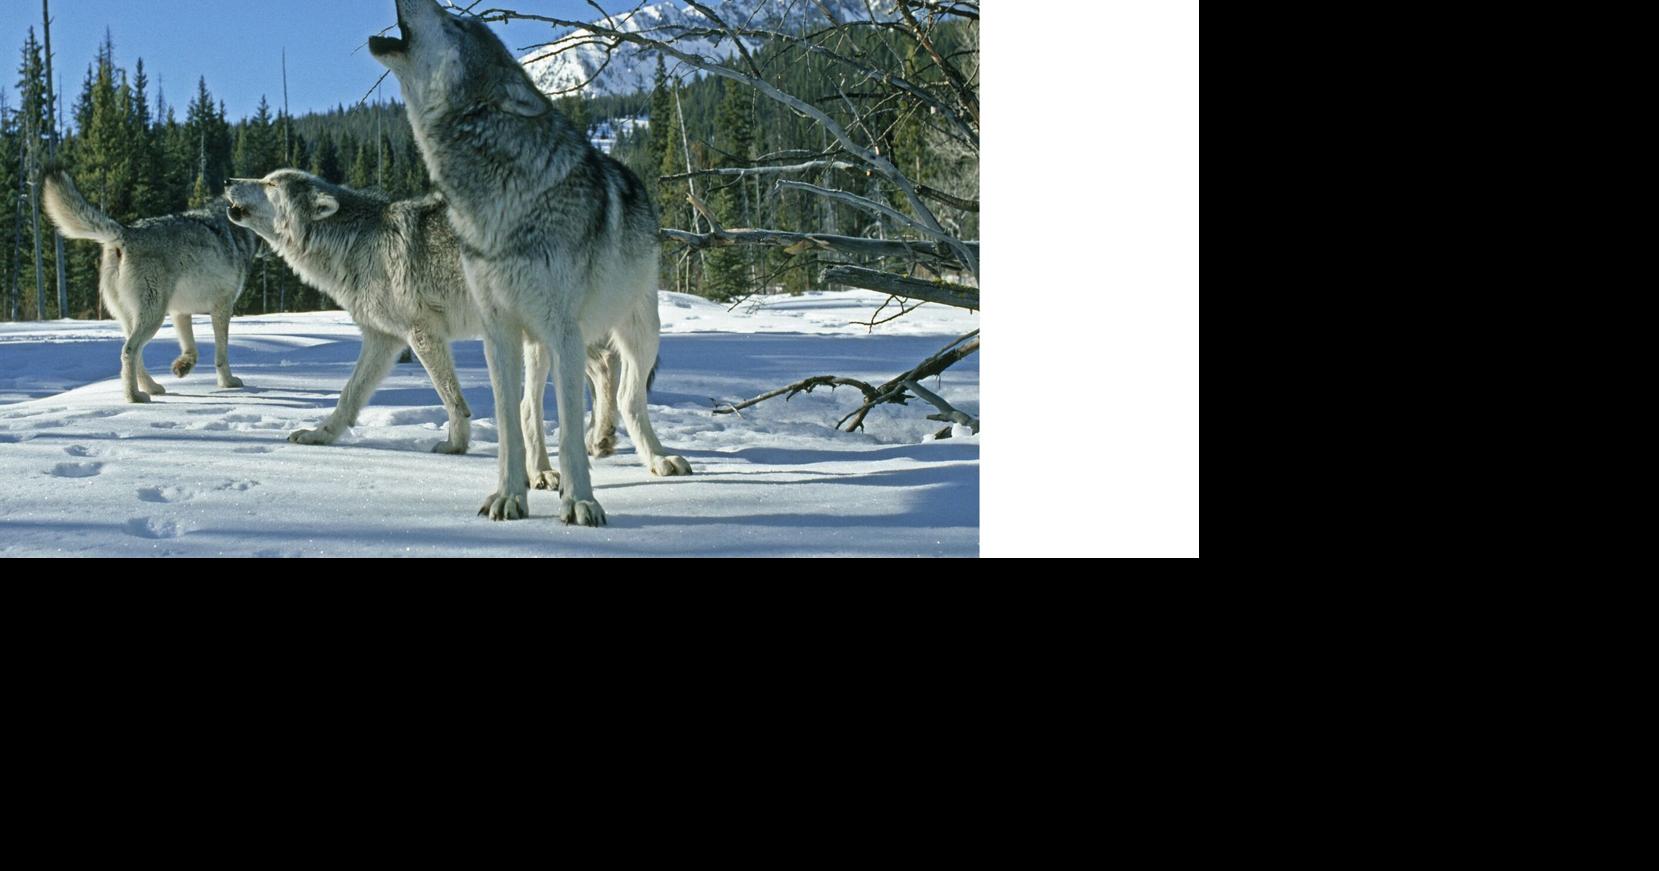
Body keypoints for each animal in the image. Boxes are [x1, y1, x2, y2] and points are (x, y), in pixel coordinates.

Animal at [41, 168, 255, 403]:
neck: (232, 230)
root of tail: (125, 233)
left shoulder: (180, 312)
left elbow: (191, 348)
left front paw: (182, 367)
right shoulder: (222, 307)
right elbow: (221, 353)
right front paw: (228, 382)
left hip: (136, 317)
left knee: (136, 355)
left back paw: (150, 388)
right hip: (153, 317)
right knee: (129, 351)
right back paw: (134, 396)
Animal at [224, 169, 644, 489]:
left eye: (271, 183)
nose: (228, 181)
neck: (356, 243)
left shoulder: (422, 333)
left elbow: (453, 399)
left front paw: (455, 446)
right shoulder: (383, 340)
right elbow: (348, 397)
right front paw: (320, 436)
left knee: (605, 364)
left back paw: (599, 438)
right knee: (605, 364)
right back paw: (600, 439)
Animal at [372, 0, 691, 527]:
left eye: (457, 26)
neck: (498, 195)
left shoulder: (564, 332)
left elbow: (571, 433)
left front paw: (581, 502)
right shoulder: (497, 331)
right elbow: (508, 423)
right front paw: (509, 495)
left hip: (637, 332)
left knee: (628, 397)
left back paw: (658, 459)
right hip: (536, 344)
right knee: (529, 407)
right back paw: (541, 474)